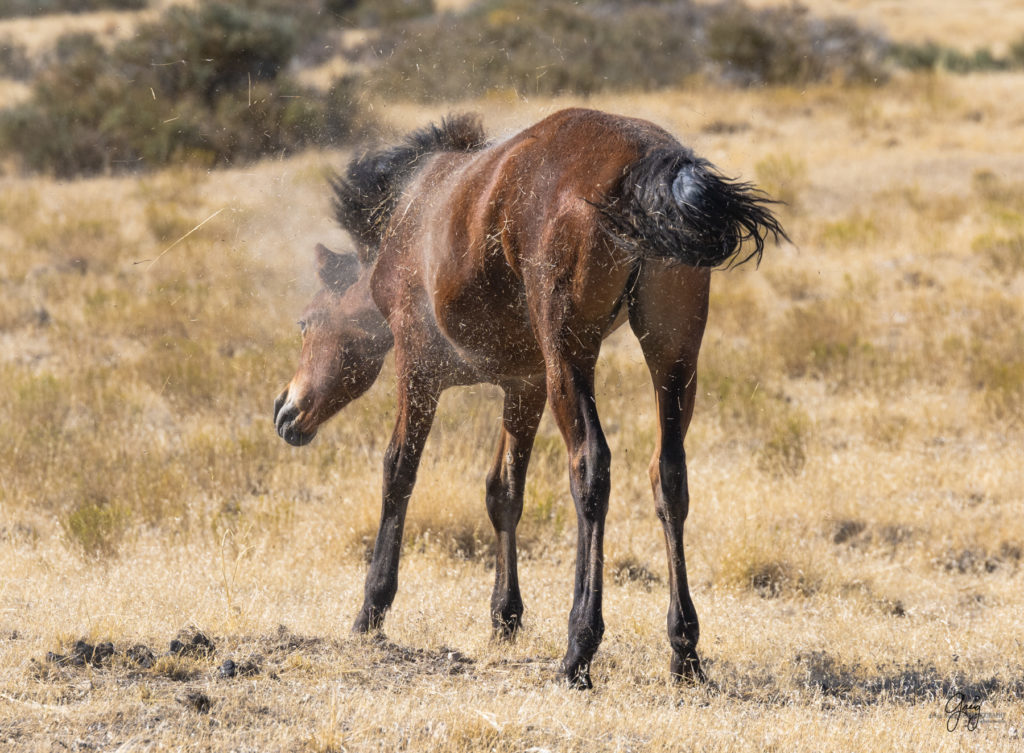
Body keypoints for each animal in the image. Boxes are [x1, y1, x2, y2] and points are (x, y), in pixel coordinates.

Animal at [272, 107, 782, 688]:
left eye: (306, 322)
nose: (285, 411)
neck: (413, 212)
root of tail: (650, 164)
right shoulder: (525, 385)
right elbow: (503, 492)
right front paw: (505, 617)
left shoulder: (418, 369)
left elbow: (398, 471)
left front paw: (371, 610)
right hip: (672, 357)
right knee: (668, 475)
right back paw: (685, 651)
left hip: (571, 357)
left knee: (591, 468)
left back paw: (579, 647)